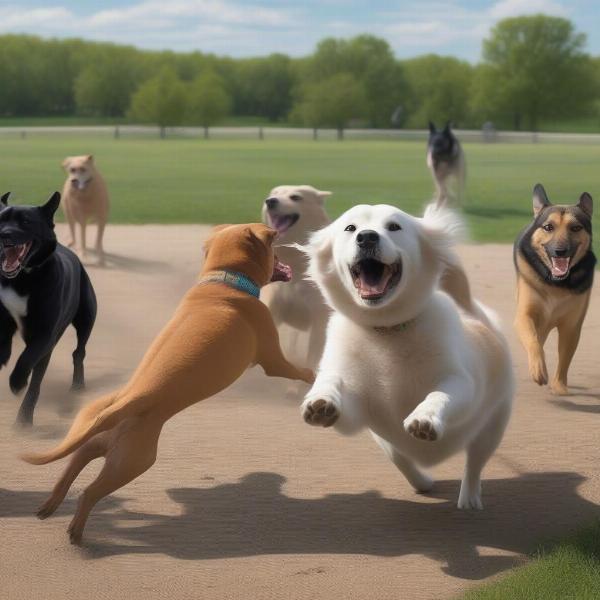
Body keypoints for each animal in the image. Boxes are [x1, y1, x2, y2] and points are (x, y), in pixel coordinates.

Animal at [0, 193, 95, 426]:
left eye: (26, 221)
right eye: (0, 220)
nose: (3, 234)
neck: (23, 279)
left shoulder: (45, 335)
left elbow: (26, 360)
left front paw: (17, 384)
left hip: (86, 319)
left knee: (78, 353)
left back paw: (76, 386)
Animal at [22, 224, 314, 544]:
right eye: (273, 243)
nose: (289, 248)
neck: (224, 282)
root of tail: (124, 404)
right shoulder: (274, 360)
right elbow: (298, 369)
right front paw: (314, 376)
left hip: (96, 442)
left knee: (71, 468)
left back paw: (49, 505)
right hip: (133, 462)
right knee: (90, 492)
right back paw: (76, 531)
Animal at [260, 186, 330, 376]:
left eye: (295, 197)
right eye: (273, 195)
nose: (270, 201)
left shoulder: (319, 316)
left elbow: (315, 355)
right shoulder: (274, 303)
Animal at [298, 204, 512, 508]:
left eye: (394, 227)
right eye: (350, 228)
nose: (367, 237)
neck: (388, 331)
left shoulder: (461, 383)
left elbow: (440, 395)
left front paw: (424, 418)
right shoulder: (356, 411)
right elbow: (333, 384)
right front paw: (320, 400)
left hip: (492, 429)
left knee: (474, 464)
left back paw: (469, 498)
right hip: (387, 443)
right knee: (402, 461)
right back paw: (422, 482)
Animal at [512, 185, 592, 396]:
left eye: (575, 227)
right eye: (548, 227)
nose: (560, 251)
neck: (556, 283)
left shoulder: (572, 325)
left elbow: (565, 356)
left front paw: (559, 386)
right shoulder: (524, 315)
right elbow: (533, 341)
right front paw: (538, 370)